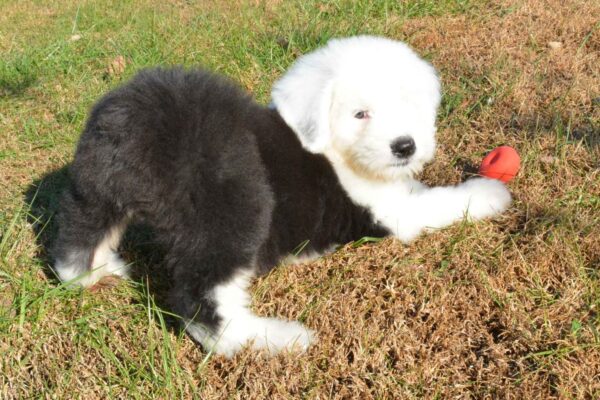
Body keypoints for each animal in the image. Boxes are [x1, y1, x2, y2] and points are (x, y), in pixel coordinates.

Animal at [52, 36, 510, 358]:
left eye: (410, 105)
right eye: (360, 114)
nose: (405, 146)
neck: (333, 148)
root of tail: (142, 123)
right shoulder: (396, 213)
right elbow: (443, 202)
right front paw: (491, 193)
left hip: (95, 191)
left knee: (75, 240)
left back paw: (96, 272)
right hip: (232, 210)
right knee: (202, 305)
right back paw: (278, 339)